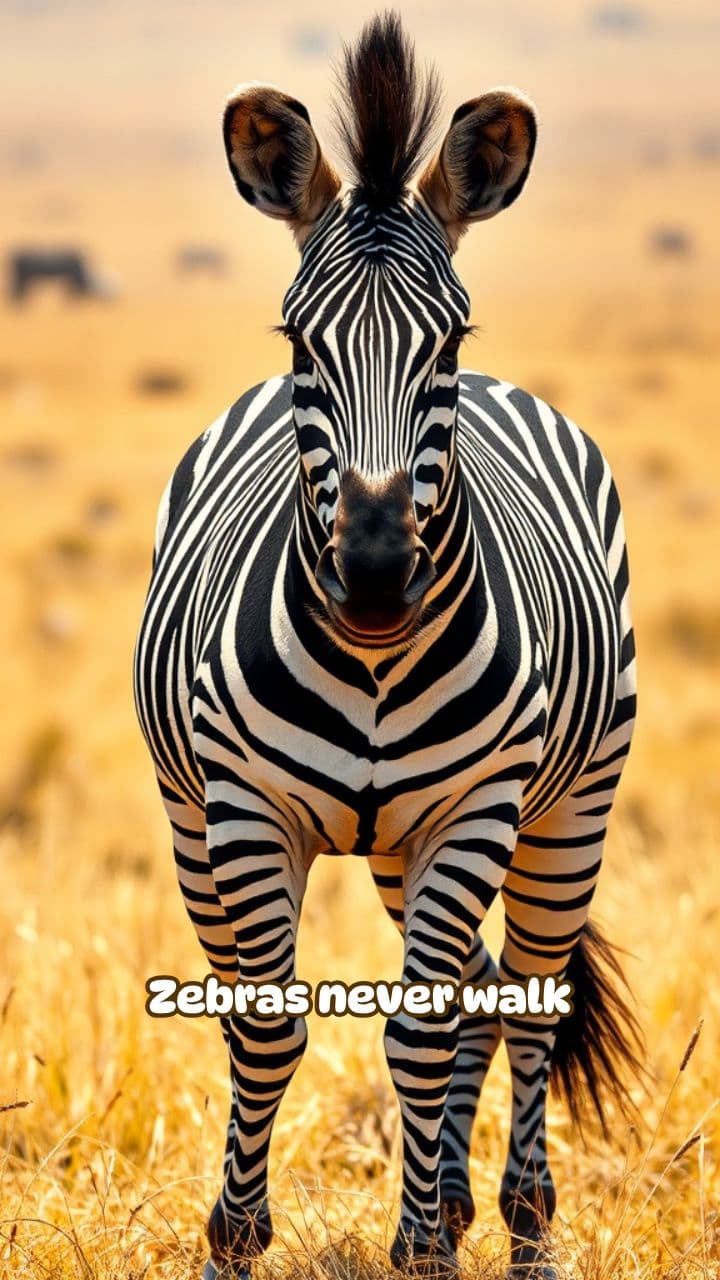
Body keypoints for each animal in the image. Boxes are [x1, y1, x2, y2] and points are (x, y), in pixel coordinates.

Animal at [134, 13, 643, 1280]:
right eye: (297, 342)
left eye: (449, 337)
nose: (372, 576)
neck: (369, 657)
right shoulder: (244, 808)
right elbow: (264, 1026)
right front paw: (235, 1237)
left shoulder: (476, 808)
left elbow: (419, 1029)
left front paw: (420, 1247)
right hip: (245, 823)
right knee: (470, 983)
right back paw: (457, 1199)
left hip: (568, 806)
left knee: (521, 996)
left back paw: (519, 1227)